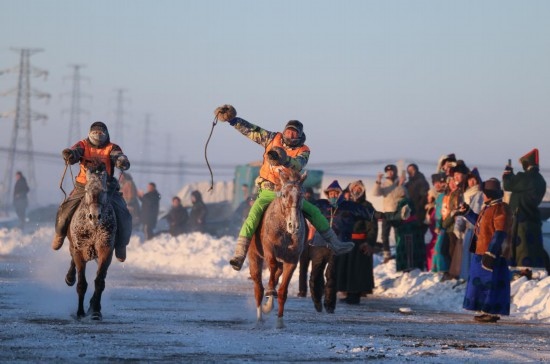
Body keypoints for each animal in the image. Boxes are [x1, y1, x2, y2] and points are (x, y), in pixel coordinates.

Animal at [64, 159, 117, 318]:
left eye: (104, 191)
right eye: (87, 190)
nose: (94, 216)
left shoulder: (106, 250)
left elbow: (99, 281)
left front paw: (95, 311)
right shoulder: (79, 250)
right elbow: (82, 283)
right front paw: (80, 312)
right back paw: (69, 278)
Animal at [248, 169, 308, 328]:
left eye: (301, 194)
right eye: (284, 194)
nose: (294, 225)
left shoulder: (292, 259)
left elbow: (282, 291)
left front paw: (280, 322)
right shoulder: (269, 248)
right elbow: (272, 265)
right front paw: (269, 290)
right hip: (254, 254)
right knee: (258, 286)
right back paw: (259, 317)